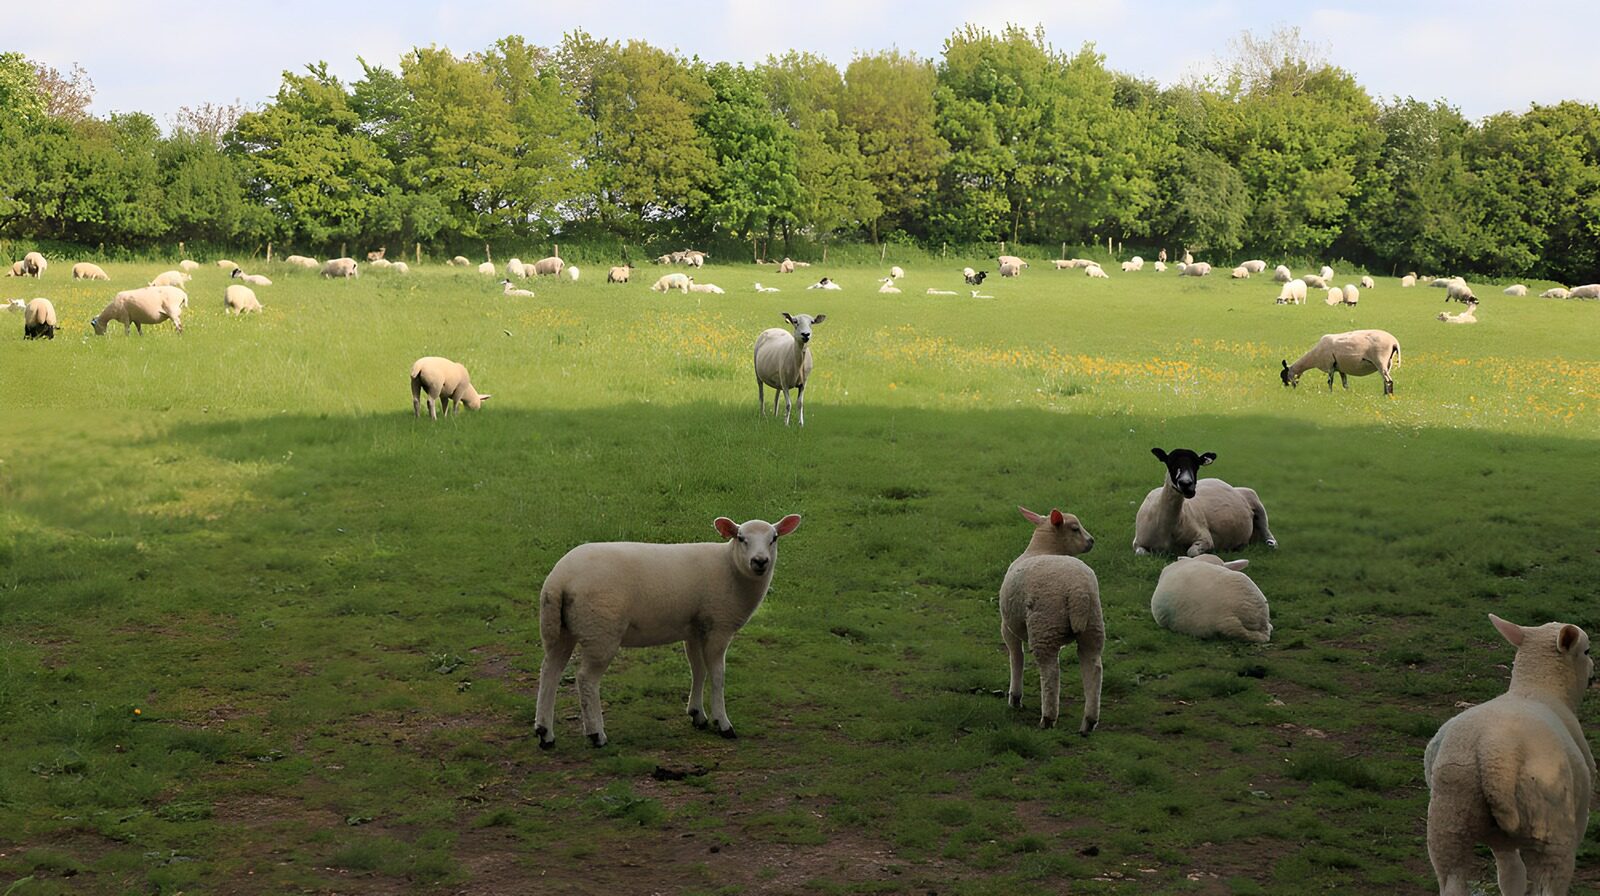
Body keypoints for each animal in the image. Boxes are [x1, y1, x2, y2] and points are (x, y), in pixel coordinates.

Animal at [534, 513, 803, 748]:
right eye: (741, 537)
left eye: (774, 538)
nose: (760, 561)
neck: (730, 568)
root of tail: (558, 579)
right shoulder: (719, 626)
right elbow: (717, 675)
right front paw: (723, 723)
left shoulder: (694, 629)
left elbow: (698, 670)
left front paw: (697, 714)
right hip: (601, 631)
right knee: (586, 680)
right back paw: (596, 734)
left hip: (561, 629)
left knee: (550, 671)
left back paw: (545, 733)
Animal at [999, 505, 1103, 735]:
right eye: (1075, 528)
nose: (1091, 541)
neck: (1043, 549)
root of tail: (1078, 591)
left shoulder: (1008, 626)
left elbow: (1016, 657)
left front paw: (1015, 697)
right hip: (1093, 624)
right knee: (1093, 667)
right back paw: (1089, 722)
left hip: (1044, 625)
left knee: (1050, 673)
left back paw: (1047, 718)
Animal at [1133, 448, 1277, 557]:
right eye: (1170, 463)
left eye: (1196, 465)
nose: (1186, 484)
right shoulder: (1137, 543)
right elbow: (1142, 553)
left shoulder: (1204, 537)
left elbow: (1191, 552)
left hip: (1253, 498)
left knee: (1268, 533)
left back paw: (1268, 544)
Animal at [1424, 615, 1594, 896]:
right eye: (1587, 651)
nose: (1593, 672)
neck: (1538, 688)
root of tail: (1493, 753)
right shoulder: (1579, 817)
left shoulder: (1501, 843)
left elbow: (1511, 878)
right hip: (1550, 831)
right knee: (1549, 885)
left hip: (1450, 821)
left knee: (1456, 880)